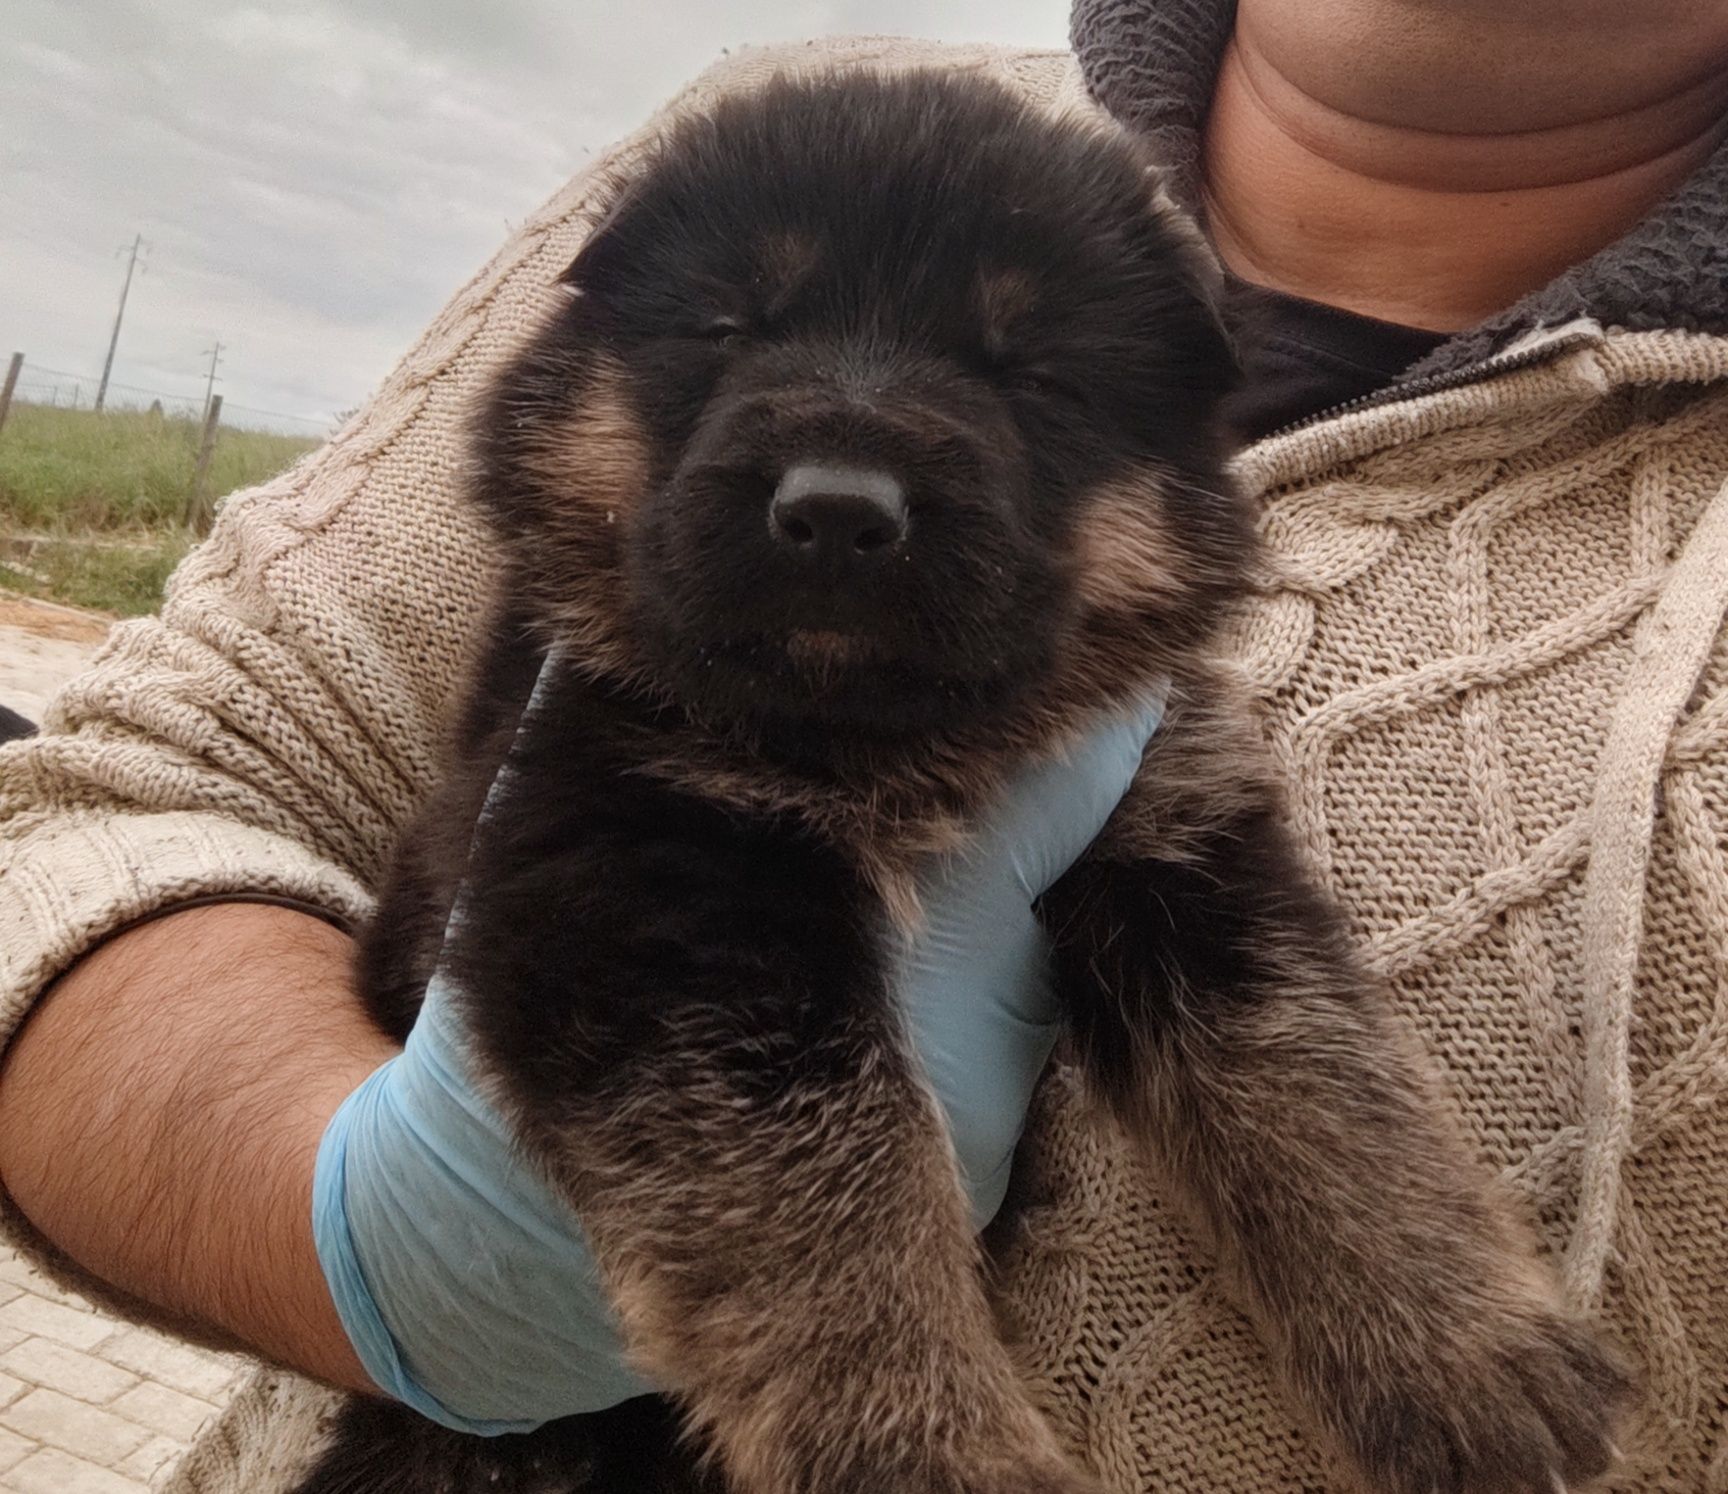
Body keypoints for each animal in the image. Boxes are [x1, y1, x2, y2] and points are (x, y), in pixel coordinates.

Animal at [300, 69, 1631, 1492]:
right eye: (728, 328)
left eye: (1028, 372)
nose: (838, 510)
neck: (875, 741)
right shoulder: (652, 883)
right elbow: (837, 1187)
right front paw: (932, 1447)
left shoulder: (1175, 833)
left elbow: (1318, 1078)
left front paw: (1465, 1348)